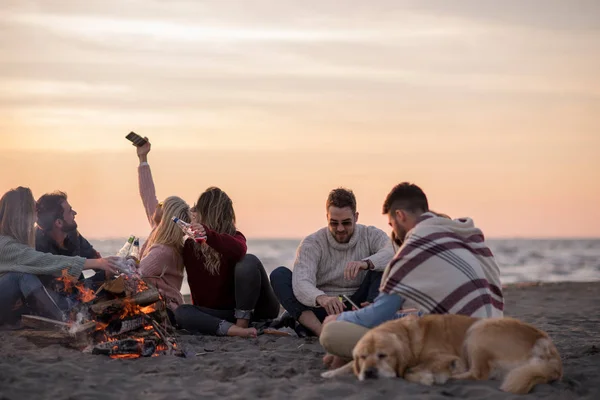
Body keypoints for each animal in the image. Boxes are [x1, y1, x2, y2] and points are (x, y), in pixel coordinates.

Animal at [324, 314, 564, 392]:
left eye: (383, 356)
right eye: (362, 357)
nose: (369, 373)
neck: (408, 337)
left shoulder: (444, 356)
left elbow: (410, 369)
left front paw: (426, 377)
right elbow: (347, 366)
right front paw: (331, 373)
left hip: (478, 331)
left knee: (478, 374)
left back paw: (449, 377)